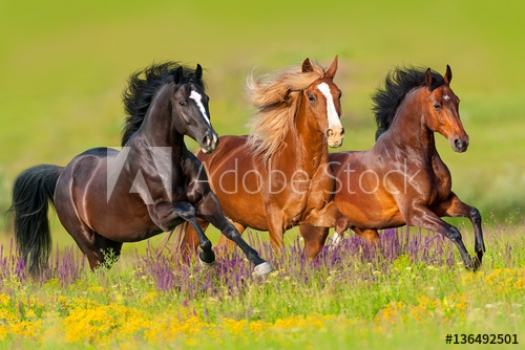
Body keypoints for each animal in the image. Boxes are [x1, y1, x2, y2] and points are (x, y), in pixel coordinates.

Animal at [11, 62, 274, 276]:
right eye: (182, 102)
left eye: (206, 99)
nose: (211, 140)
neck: (165, 161)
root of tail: (62, 174)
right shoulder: (162, 214)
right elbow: (189, 212)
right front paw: (207, 257)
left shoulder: (207, 199)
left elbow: (230, 229)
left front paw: (261, 264)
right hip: (89, 244)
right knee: (98, 272)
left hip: (111, 243)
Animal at [177, 56, 344, 254]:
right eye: (312, 97)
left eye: (339, 94)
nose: (336, 133)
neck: (303, 170)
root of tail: (202, 154)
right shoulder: (276, 221)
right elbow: (280, 255)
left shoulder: (317, 213)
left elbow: (340, 222)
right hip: (203, 216)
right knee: (187, 252)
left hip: (236, 220)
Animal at [298, 64, 484, 270]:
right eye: (437, 105)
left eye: (457, 101)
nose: (461, 142)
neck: (408, 157)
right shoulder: (414, 212)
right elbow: (452, 231)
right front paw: (470, 264)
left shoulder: (443, 202)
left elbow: (474, 213)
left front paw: (479, 254)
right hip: (316, 231)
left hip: (366, 231)